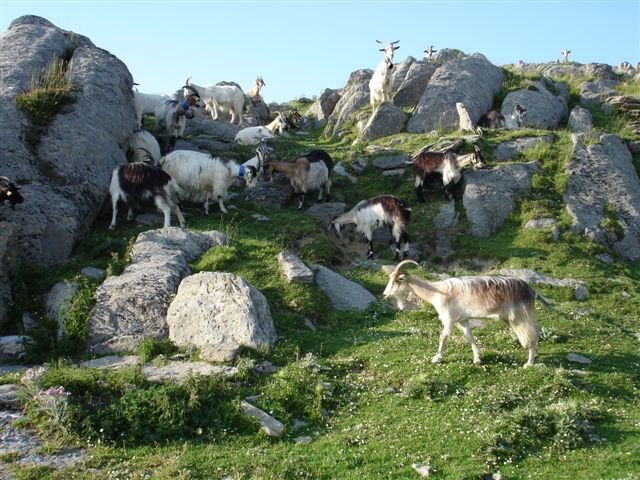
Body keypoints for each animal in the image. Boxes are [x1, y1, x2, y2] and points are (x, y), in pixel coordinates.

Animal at [382, 258, 548, 368]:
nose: (385, 295)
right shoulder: (462, 320)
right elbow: (469, 337)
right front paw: (477, 359)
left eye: (395, 281)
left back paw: (529, 363)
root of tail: (531, 291)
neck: (436, 292)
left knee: (531, 336)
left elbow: (443, 337)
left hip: (519, 316)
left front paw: (437, 358)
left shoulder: (449, 319)